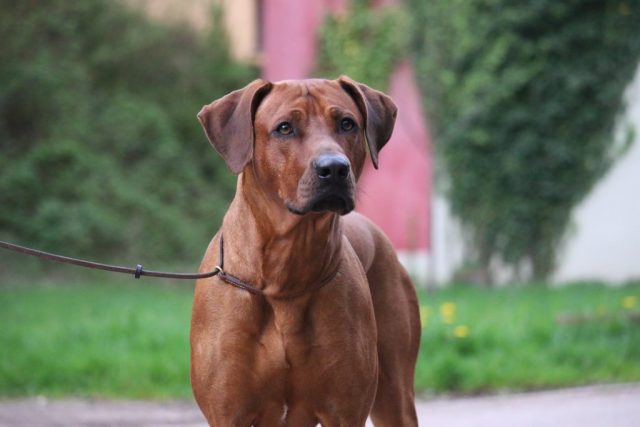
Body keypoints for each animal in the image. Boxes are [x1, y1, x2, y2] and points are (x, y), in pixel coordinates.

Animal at [190, 77, 420, 426]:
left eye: (347, 123)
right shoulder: (228, 413)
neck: (283, 276)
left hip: (395, 393)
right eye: (284, 128)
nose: (335, 169)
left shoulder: (345, 410)